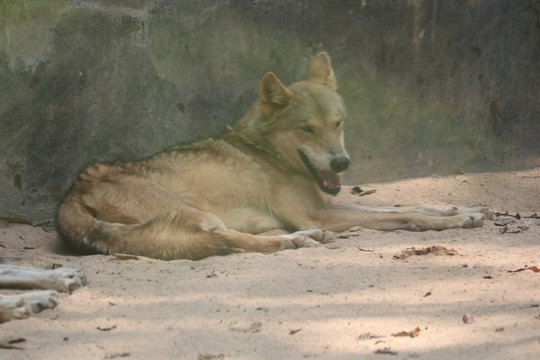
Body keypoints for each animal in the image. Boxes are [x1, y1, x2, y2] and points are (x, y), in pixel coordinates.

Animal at [57, 52, 492, 258]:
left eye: (338, 124)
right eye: (307, 130)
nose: (341, 163)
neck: (266, 154)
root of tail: (70, 197)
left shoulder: (327, 207)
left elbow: (402, 207)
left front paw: (460, 210)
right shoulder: (317, 213)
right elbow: (402, 214)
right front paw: (456, 219)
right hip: (200, 216)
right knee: (227, 242)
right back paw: (296, 242)